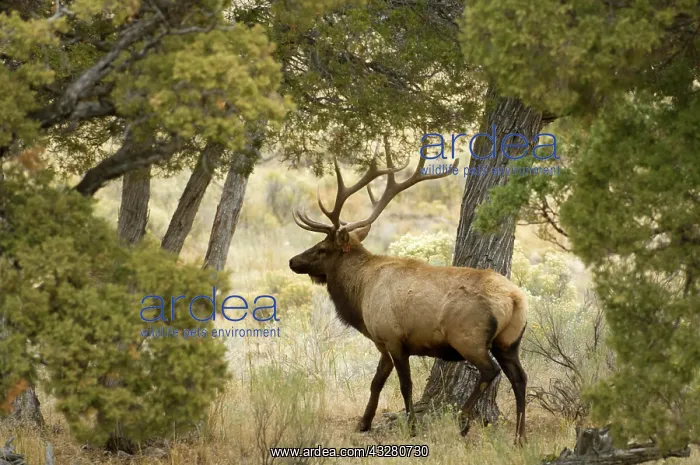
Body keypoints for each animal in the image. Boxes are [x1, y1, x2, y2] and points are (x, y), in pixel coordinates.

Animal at [288, 149, 528, 444]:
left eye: (321, 249)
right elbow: (376, 381)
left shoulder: (393, 338)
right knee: (519, 377)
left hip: (468, 337)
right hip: (509, 341)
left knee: (490, 371)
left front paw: (412, 426)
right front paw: (363, 423)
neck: (360, 298)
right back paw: (519, 437)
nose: (292, 261)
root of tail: (516, 299)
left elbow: (405, 384)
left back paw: (463, 422)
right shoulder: (382, 342)